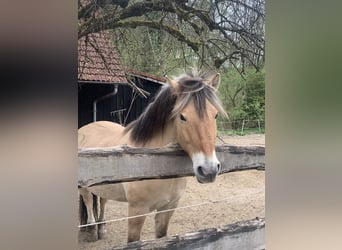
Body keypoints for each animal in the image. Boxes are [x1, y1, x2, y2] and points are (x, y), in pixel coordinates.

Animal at [78, 70, 226, 242]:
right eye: (182, 117)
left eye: (215, 115)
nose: (209, 170)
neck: (153, 162)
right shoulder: (137, 212)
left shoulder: (167, 209)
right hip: (83, 186)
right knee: (88, 201)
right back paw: (92, 229)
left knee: (102, 201)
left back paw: (101, 228)